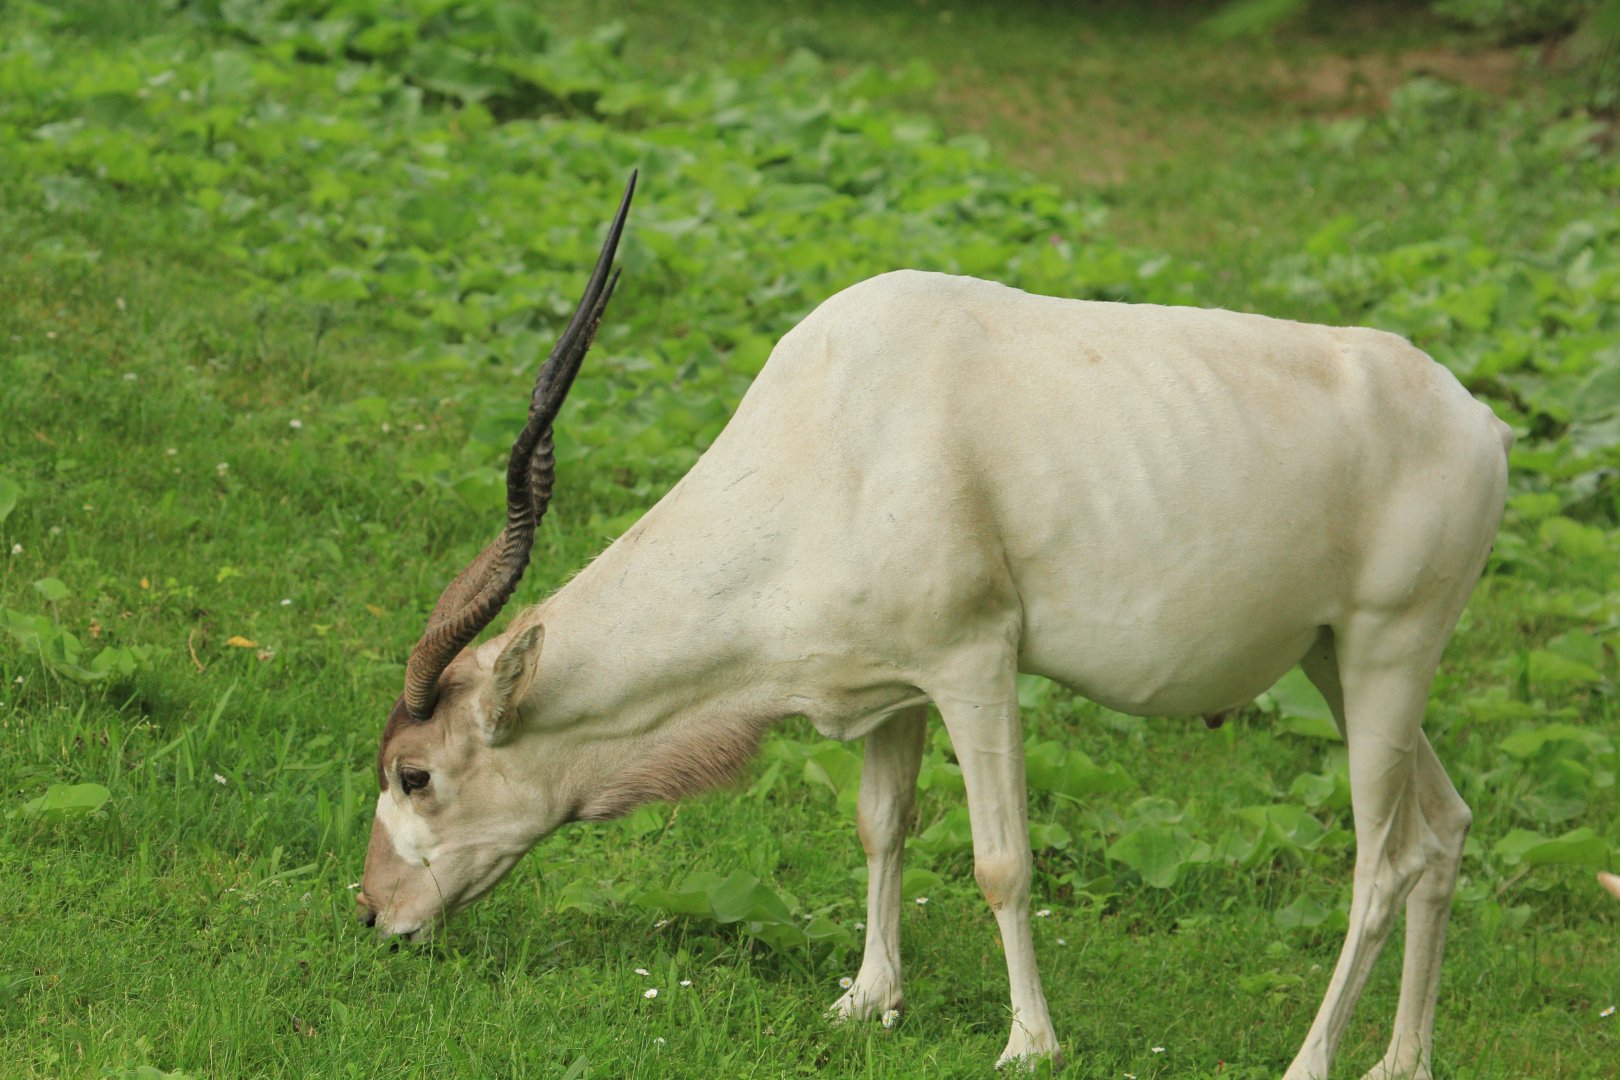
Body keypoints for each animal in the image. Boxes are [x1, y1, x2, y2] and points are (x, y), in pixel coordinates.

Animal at [357, 174, 1512, 1079]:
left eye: (417, 775)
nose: (374, 914)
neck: (830, 440)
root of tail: (1481, 427)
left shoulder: (974, 663)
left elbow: (1002, 861)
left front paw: (1029, 1043)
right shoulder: (889, 688)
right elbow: (881, 825)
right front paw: (869, 999)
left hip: (1389, 651)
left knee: (1384, 862)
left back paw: (1311, 1062)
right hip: (1335, 662)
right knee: (1444, 826)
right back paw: (1400, 1063)